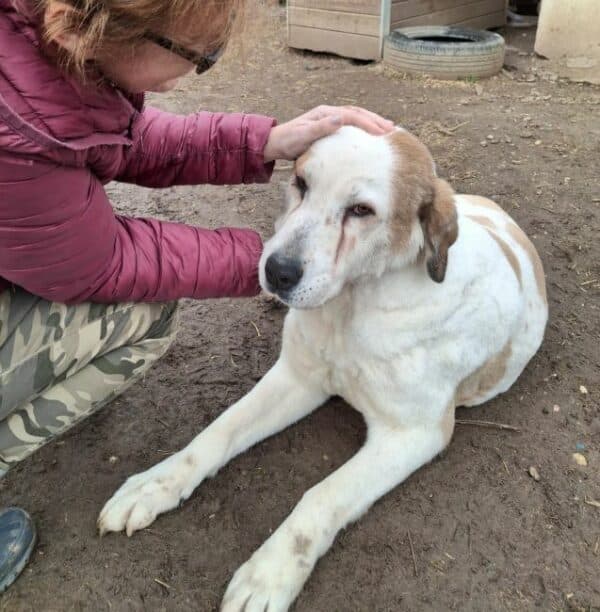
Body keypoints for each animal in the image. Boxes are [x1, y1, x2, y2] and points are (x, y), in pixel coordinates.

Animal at [97, 126, 548, 608]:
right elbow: (217, 433)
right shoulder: (296, 378)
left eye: (361, 210)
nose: (277, 271)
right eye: (301, 183)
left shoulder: (414, 434)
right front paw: (155, 484)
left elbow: (322, 495)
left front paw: (269, 574)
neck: (350, 309)